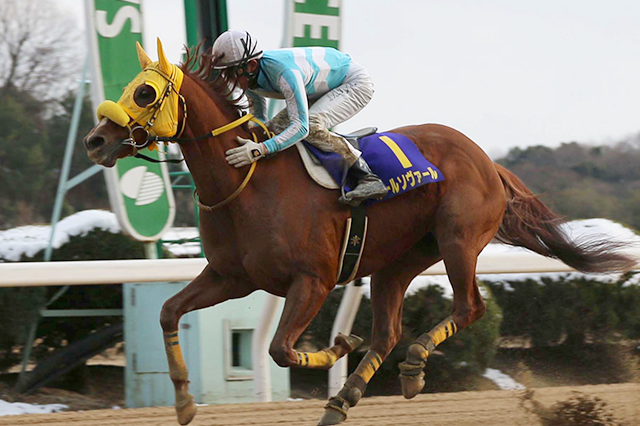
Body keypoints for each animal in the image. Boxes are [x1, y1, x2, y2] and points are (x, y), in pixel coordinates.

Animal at [82, 39, 632, 422]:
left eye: (145, 91)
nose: (95, 140)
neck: (247, 184)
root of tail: (487, 161)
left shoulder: (313, 280)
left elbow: (281, 349)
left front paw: (342, 344)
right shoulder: (230, 277)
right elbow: (168, 312)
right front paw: (183, 404)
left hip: (458, 240)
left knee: (469, 307)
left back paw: (411, 365)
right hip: (400, 260)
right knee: (388, 331)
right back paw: (347, 398)